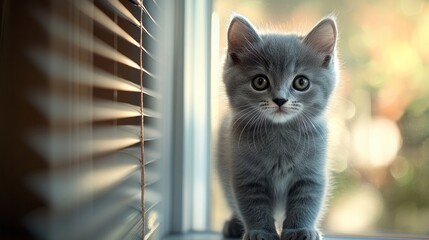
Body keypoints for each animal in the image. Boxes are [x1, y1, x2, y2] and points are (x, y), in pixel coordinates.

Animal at [217, 15, 338, 240]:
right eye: (260, 81)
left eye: (301, 82)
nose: (280, 100)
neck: (280, 133)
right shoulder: (247, 177)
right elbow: (253, 207)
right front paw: (260, 232)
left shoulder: (311, 174)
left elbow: (306, 204)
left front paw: (300, 230)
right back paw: (234, 225)